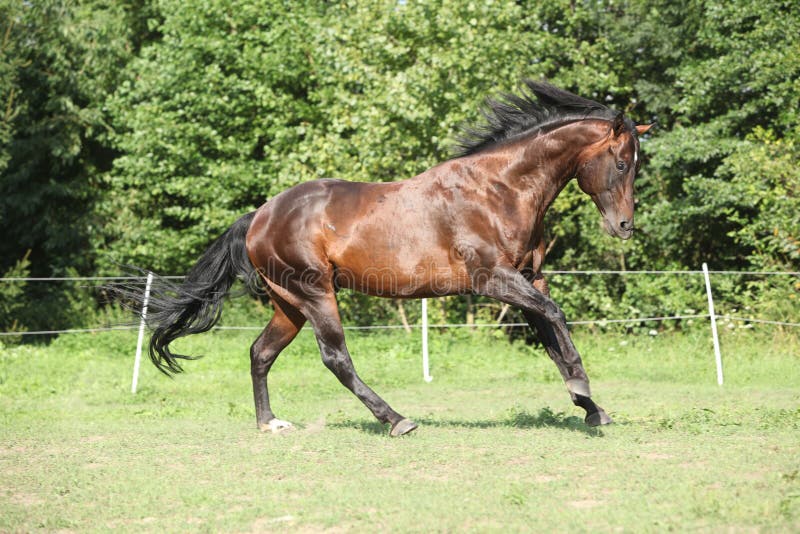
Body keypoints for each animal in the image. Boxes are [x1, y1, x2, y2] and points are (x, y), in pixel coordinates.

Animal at [123, 81, 648, 438]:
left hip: (289, 304)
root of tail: (259, 217)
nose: (625, 226)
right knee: (335, 358)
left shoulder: (528, 280)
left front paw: (591, 407)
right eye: (623, 163)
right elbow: (556, 320)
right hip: (315, 293)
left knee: (260, 353)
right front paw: (583, 391)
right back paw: (396, 420)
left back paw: (270, 423)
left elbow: (553, 335)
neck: (499, 189)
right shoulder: (494, 280)